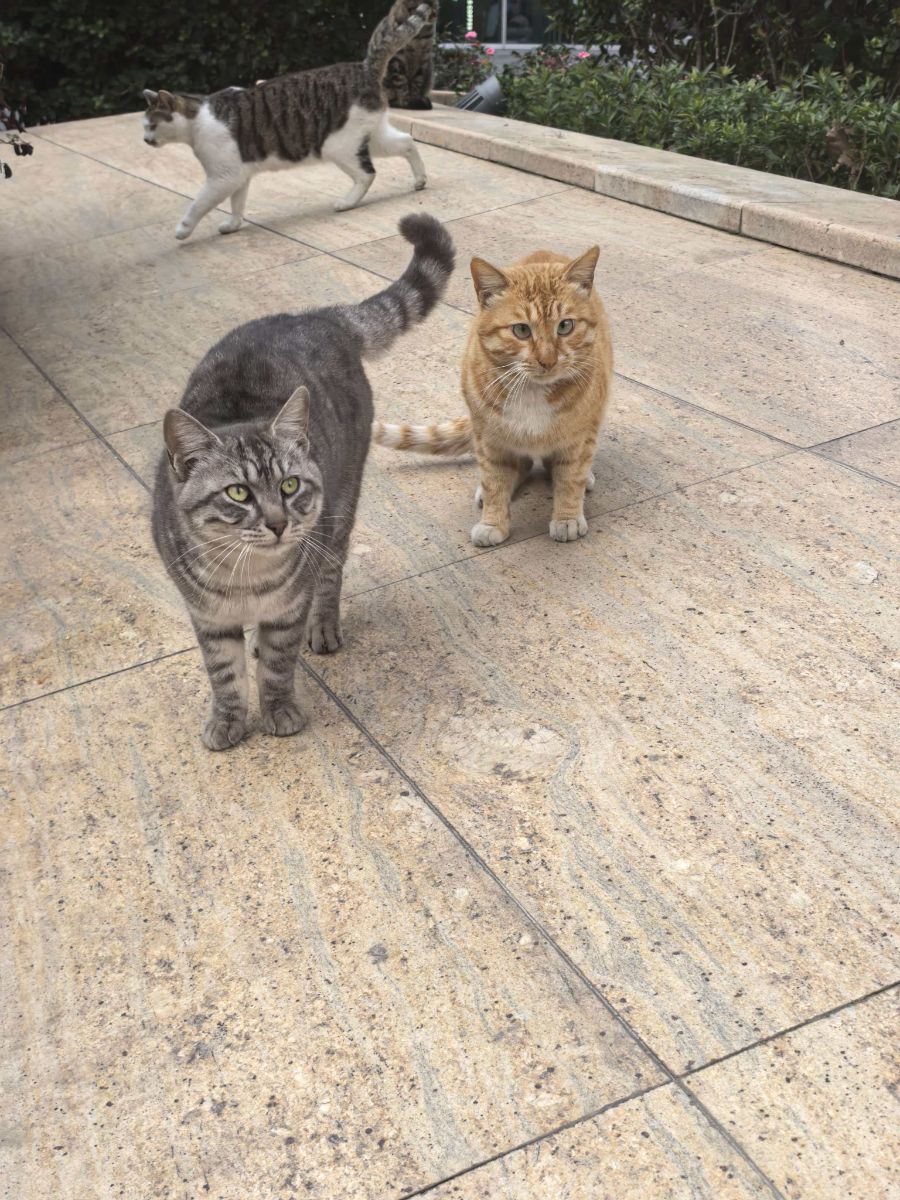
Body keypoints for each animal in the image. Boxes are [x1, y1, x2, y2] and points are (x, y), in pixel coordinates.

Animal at [141, 0, 436, 241]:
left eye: (152, 125)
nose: (145, 140)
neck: (197, 119)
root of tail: (365, 67)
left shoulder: (222, 177)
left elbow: (198, 204)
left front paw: (182, 229)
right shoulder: (239, 175)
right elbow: (237, 204)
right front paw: (233, 225)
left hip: (339, 145)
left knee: (367, 173)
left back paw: (346, 203)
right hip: (372, 136)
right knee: (407, 142)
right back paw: (420, 180)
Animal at [152, 213, 454, 750]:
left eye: (290, 486)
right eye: (238, 493)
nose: (277, 524)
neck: (248, 579)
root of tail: (320, 316)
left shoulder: (288, 604)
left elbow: (278, 666)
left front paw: (278, 710)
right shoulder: (208, 619)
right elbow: (223, 675)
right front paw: (228, 719)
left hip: (340, 511)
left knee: (329, 575)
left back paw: (324, 627)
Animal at [373, 246, 613, 546]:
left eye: (565, 326)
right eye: (521, 330)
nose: (548, 361)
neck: (532, 391)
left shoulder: (578, 439)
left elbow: (570, 478)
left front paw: (567, 517)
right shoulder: (490, 440)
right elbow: (495, 482)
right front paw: (493, 521)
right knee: (521, 465)